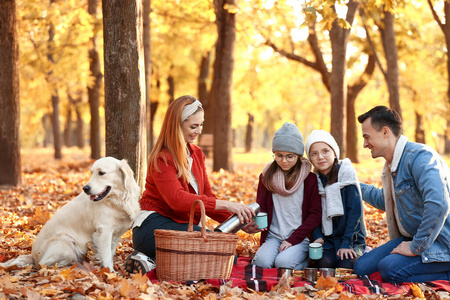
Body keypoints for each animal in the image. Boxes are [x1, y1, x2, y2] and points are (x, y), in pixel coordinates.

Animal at [0, 157, 141, 272]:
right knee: (43, 264)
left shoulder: (114, 234)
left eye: (101, 173)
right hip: (65, 241)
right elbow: (106, 255)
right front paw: (110, 272)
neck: (118, 200)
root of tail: (32, 255)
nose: (85, 188)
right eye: (92, 173)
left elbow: (110, 252)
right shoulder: (104, 231)